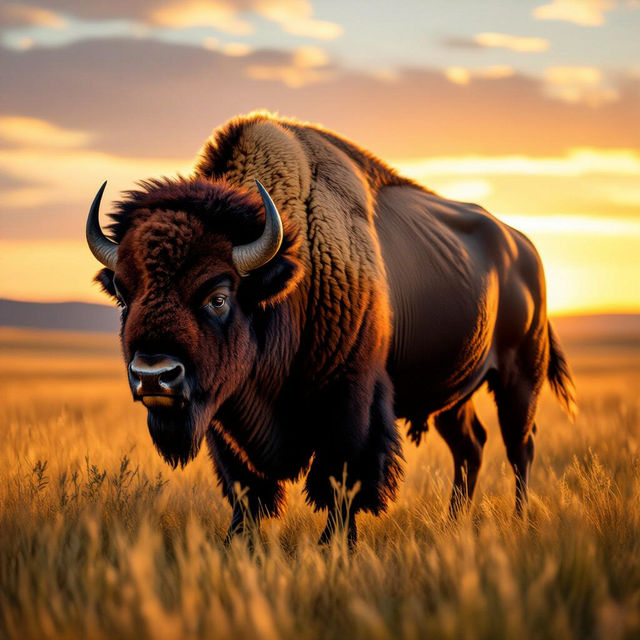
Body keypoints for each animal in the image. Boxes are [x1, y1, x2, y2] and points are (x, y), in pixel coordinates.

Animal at [86, 113, 576, 543]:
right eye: (124, 296)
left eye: (218, 296)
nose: (153, 376)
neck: (290, 272)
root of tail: (525, 249)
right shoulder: (224, 421)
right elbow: (246, 494)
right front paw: (237, 546)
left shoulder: (351, 403)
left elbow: (342, 485)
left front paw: (336, 548)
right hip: (453, 397)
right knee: (470, 446)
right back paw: (455, 522)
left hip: (520, 376)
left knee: (518, 446)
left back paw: (519, 520)